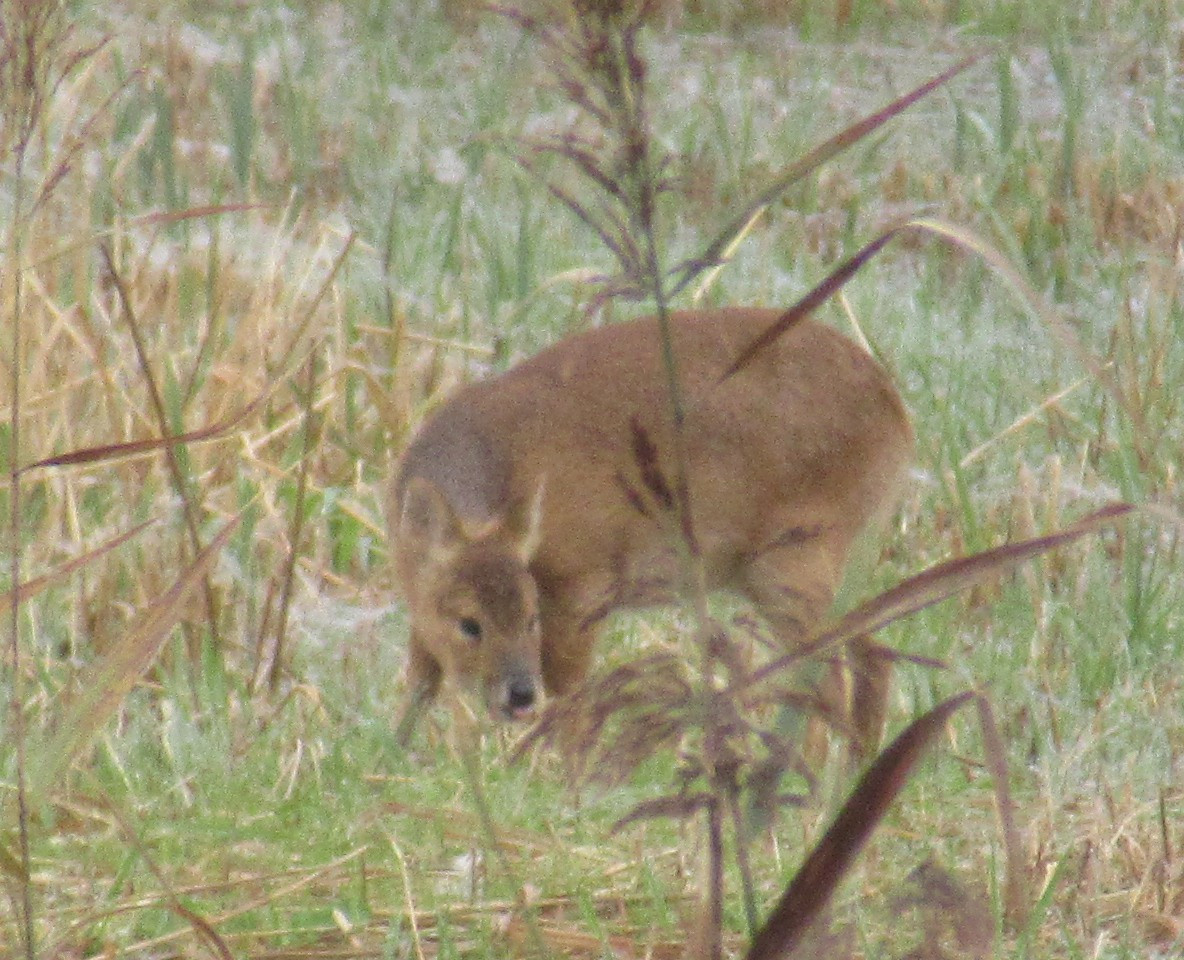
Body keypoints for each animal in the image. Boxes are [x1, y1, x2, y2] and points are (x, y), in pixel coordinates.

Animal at [390, 307, 914, 752]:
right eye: (468, 623)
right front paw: (396, 758)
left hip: (798, 559)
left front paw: (568, 787)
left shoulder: (585, 583)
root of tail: (899, 411)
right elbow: (418, 683)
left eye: (529, 615)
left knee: (829, 678)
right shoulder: (422, 607)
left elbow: (570, 696)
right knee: (873, 658)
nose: (518, 694)